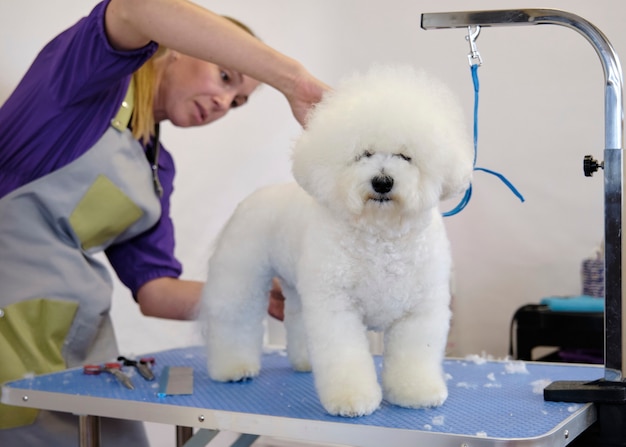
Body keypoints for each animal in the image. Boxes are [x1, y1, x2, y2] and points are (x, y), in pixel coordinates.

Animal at [202, 65, 470, 418]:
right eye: (363, 154)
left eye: (405, 156)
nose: (382, 182)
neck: (381, 236)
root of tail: (256, 196)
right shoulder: (337, 307)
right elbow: (345, 357)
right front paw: (351, 398)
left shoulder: (420, 310)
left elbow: (415, 356)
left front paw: (416, 392)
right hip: (242, 274)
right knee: (234, 319)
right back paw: (232, 367)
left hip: (298, 285)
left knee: (297, 318)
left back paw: (304, 361)